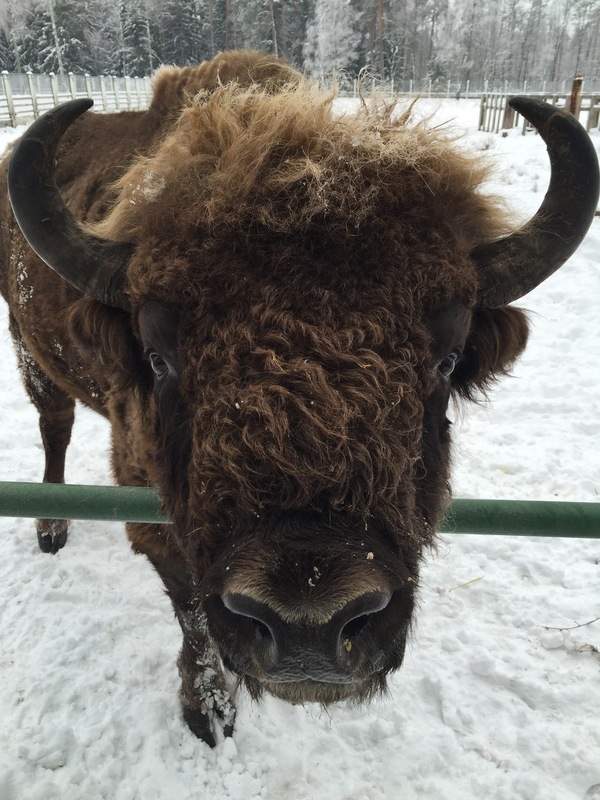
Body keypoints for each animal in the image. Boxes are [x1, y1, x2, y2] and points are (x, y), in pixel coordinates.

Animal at [0, 53, 596, 748]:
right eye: (159, 355)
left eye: (445, 359)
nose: (307, 627)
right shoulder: (151, 507)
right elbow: (191, 608)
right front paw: (207, 709)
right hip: (28, 351)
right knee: (55, 425)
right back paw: (51, 529)